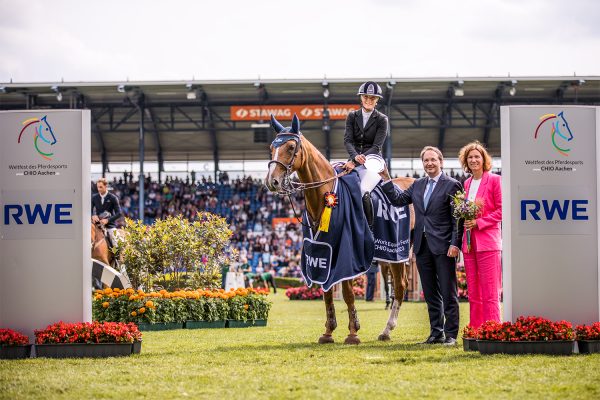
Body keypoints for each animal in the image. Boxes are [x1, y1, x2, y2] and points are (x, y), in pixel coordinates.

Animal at [266, 115, 412, 344]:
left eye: (290, 147)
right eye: (272, 147)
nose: (272, 182)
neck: (325, 195)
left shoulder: (349, 250)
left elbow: (348, 292)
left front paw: (353, 332)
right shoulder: (323, 248)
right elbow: (326, 290)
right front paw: (328, 332)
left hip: (399, 251)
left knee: (400, 286)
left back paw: (388, 329)